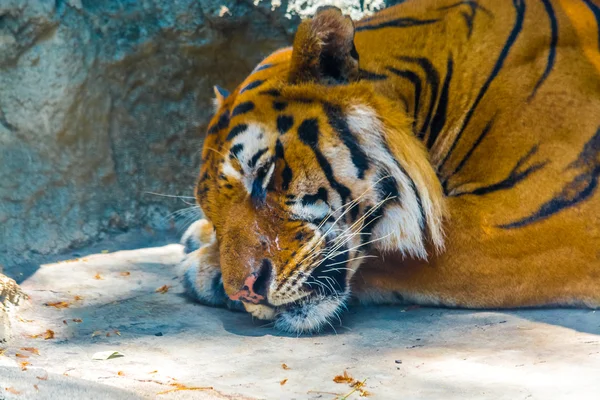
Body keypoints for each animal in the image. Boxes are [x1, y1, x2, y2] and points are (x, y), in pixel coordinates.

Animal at [180, 0, 600, 334]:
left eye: (263, 175)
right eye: (213, 212)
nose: (244, 291)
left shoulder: (542, 222)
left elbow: (387, 250)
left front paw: (201, 266)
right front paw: (202, 240)